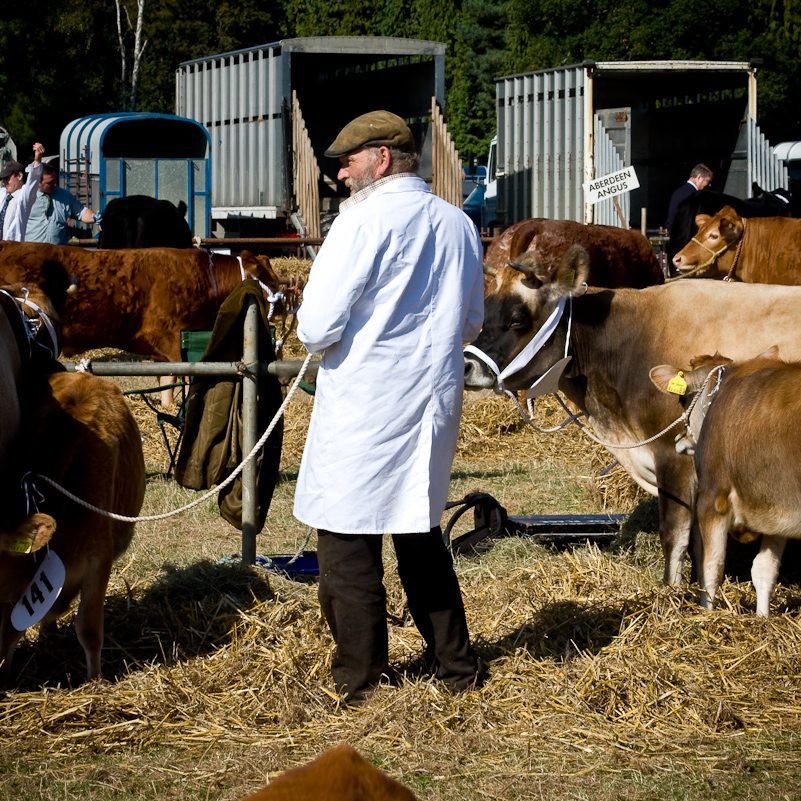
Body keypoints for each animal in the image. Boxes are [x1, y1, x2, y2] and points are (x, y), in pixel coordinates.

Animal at [648, 346, 800, 616]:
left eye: (682, 399)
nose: (678, 438)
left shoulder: (712, 499)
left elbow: (711, 567)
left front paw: (706, 613)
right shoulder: (775, 508)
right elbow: (764, 568)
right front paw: (762, 618)